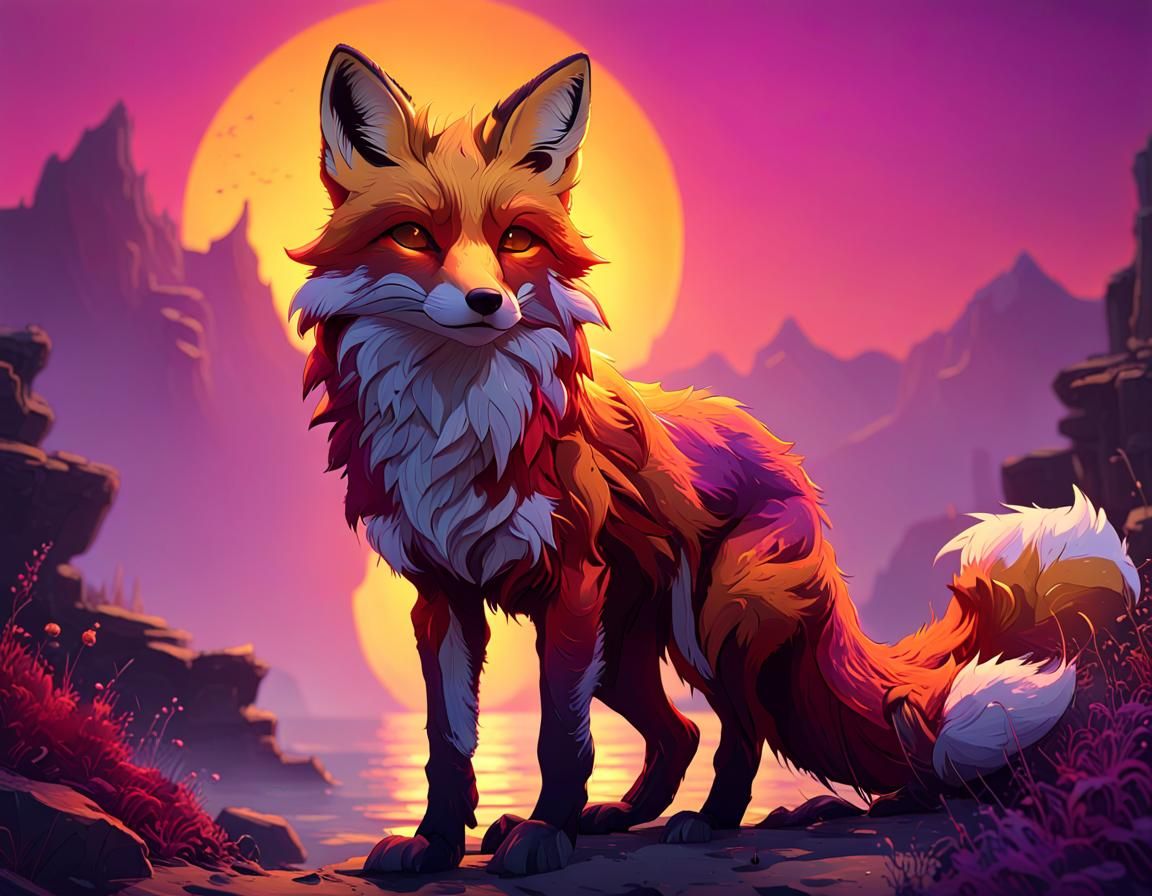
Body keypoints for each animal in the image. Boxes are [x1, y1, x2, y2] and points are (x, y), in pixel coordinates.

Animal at [289, 46, 1142, 877]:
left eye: (516, 241)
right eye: (415, 236)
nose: (486, 304)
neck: (458, 416)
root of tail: (792, 463)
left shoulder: (571, 582)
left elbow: (558, 739)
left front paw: (542, 836)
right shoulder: (441, 596)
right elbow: (448, 743)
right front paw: (436, 843)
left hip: (713, 618)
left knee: (744, 730)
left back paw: (707, 820)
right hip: (623, 648)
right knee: (681, 733)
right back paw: (619, 817)